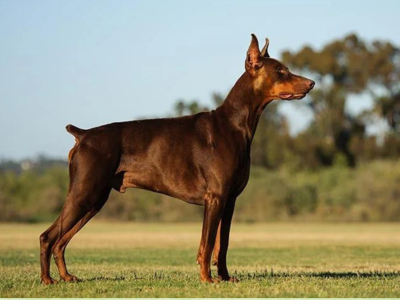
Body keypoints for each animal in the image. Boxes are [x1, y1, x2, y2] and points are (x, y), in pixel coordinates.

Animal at [40, 34, 316, 284]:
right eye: (281, 71)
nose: (311, 83)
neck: (235, 124)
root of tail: (83, 134)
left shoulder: (229, 200)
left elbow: (223, 244)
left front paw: (225, 277)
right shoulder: (215, 197)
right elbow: (207, 244)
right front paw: (207, 279)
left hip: (95, 199)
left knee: (61, 241)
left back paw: (66, 277)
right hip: (84, 192)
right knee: (48, 236)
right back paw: (47, 279)